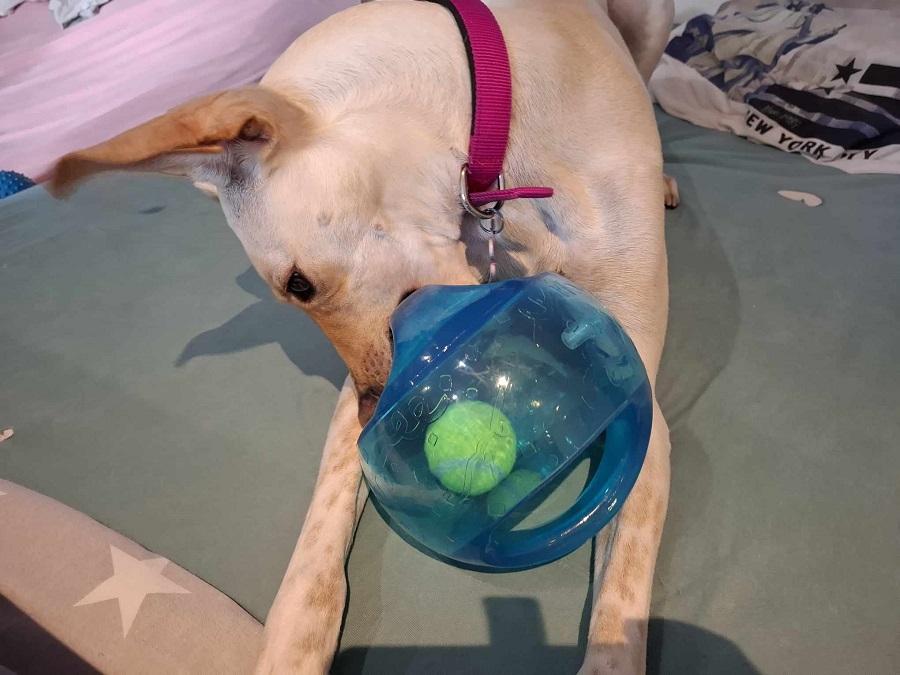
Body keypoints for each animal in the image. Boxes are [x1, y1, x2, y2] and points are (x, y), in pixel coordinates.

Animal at [49, 2, 680, 672]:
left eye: (299, 285)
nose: (374, 411)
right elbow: (315, 552)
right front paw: (290, 650)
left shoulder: (640, 399)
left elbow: (619, 614)